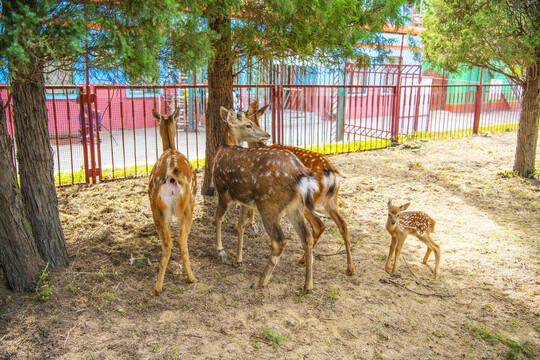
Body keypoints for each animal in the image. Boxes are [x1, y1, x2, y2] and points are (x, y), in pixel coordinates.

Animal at [148, 108, 198, 294]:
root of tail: (171, 173)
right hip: (187, 204)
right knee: (179, 241)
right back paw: (190, 278)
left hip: (158, 206)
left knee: (169, 241)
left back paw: (157, 286)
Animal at [213, 107, 318, 292]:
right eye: (248, 124)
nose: (267, 134)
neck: (223, 148)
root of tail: (301, 174)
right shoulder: (245, 200)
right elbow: (240, 226)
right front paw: (238, 260)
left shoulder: (223, 191)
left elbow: (218, 218)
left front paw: (221, 252)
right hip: (295, 206)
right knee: (307, 238)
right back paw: (308, 285)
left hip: (269, 204)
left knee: (280, 241)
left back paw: (260, 281)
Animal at [245, 100, 354, 274]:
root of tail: (332, 174)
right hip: (332, 200)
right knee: (343, 225)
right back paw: (350, 268)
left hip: (308, 201)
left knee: (319, 226)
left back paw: (303, 259)